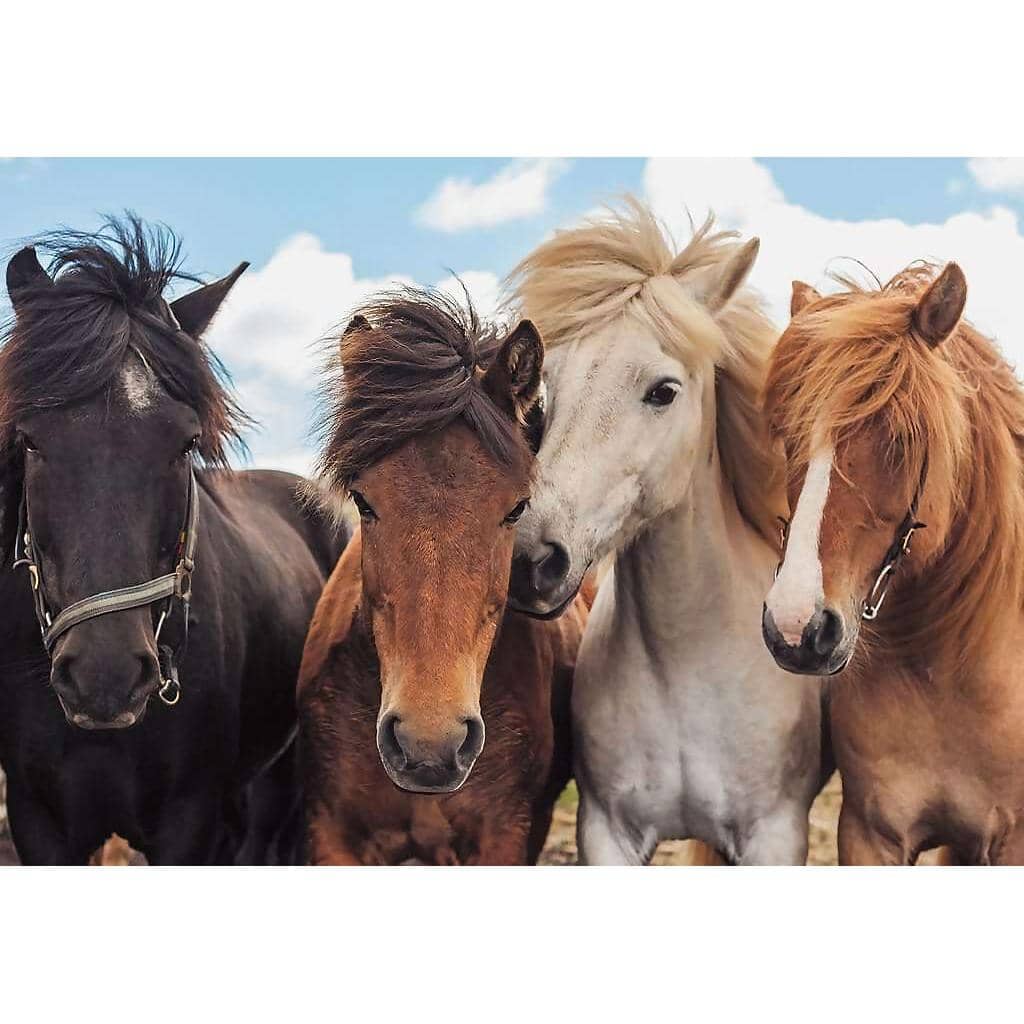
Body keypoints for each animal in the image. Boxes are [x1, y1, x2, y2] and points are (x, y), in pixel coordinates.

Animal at [506, 199, 827, 865]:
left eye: (664, 391)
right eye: (547, 393)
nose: (530, 562)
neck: (685, 669)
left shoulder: (775, 836)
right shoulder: (606, 832)